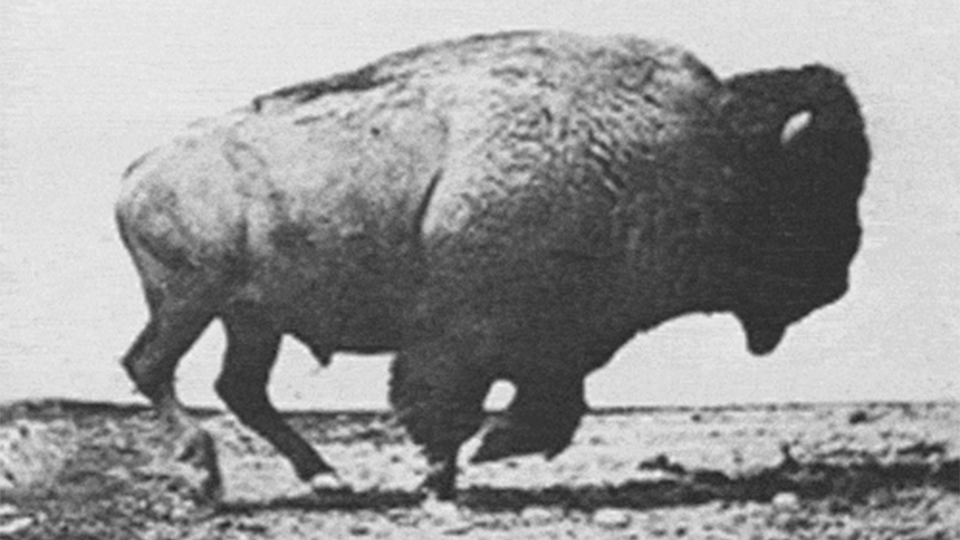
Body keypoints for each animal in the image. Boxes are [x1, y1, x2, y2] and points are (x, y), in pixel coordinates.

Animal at [115, 31, 869, 501]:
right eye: (809, 188)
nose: (839, 280)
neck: (696, 150)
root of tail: (138, 170)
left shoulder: (560, 342)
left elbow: (552, 408)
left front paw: (476, 458)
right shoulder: (465, 338)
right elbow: (449, 406)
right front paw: (452, 471)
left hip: (251, 320)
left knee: (239, 386)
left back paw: (325, 476)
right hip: (189, 302)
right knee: (151, 367)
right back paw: (209, 478)